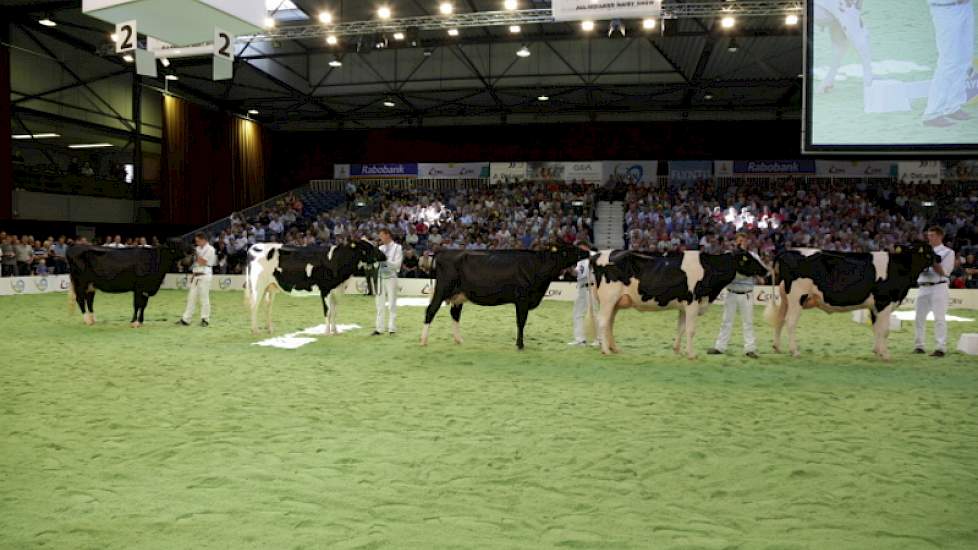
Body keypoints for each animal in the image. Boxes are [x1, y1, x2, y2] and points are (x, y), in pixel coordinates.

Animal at [242, 239, 384, 334]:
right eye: (367, 248)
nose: (384, 255)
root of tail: (256, 246)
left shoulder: (336, 290)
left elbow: (335, 312)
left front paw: (335, 331)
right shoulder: (325, 289)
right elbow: (328, 311)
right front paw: (327, 332)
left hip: (270, 287)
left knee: (267, 307)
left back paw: (270, 329)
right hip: (258, 285)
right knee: (254, 306)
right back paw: (255, 330)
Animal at [420, 246, 588, 350]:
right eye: (573, 250)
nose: (587, 252)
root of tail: (442, 251)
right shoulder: (522, 298)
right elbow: (521, 322)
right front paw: (520, 345)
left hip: (459, 295)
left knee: (455, 315)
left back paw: (458, 340)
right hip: (442, 289)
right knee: (430, 310)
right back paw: (423, 341)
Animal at [588, 251, 772, 362]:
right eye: (751, 259)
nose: (767, 271)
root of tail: (598, 254)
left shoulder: (684, 306)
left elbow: (681, 328)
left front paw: (678, 351)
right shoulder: (693, 303)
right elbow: (690, 330)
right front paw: (691, 354)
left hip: (615, 302)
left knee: (610, 323)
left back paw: (614, 348)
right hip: (609, 298)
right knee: (603, 321)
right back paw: (606, 350)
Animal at [768, 246, 936, 362]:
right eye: (927, 252)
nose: (939, 257)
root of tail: (787, 251)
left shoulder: (875, 306)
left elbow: (876, 329)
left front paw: (877, 351)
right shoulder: (884, 302)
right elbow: (884, 330)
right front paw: (886, 355)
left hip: (785, 298)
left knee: (780, 320)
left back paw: (777, 347)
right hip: (797, 297)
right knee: (790, 322)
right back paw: (794, 351)